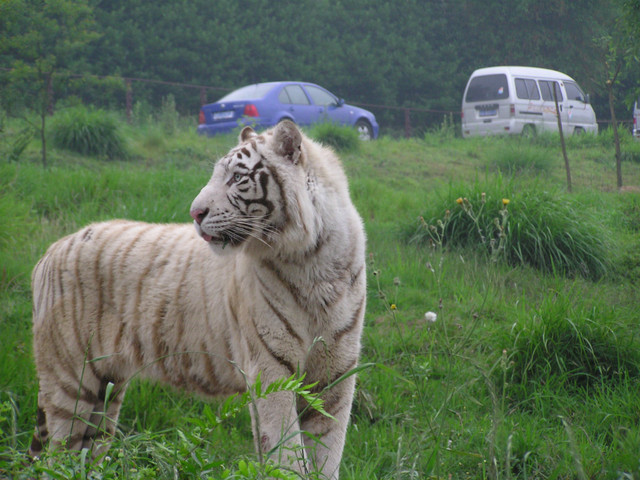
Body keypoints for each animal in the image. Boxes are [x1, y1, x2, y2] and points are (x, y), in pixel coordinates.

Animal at [30, 119, 368, 476]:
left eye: (237, 178)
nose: (195, 213)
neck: (311, 261)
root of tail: (50, 252)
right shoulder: (271, 367)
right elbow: (286, 455)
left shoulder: (336, 371)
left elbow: (327, 452)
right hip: (70, 378)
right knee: (58, 457)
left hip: (105, 389)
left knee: (87, 453)